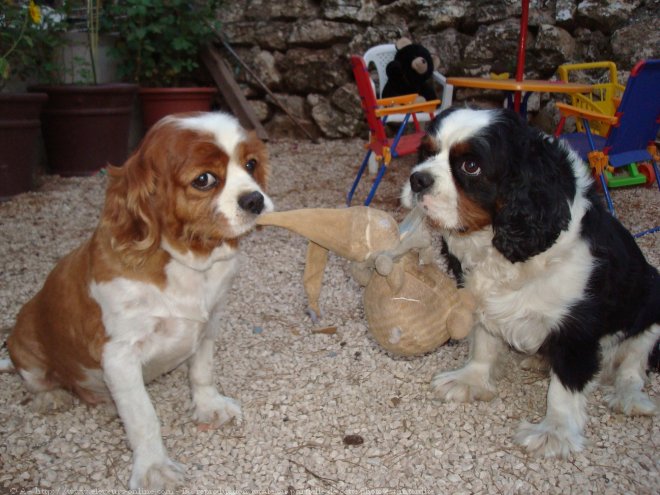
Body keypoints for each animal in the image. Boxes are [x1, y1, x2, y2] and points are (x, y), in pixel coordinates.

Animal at [2, 111, 270, 488]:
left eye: (251, 164)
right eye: (204, 179)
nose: (255, 200)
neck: (188, 260)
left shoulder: (209, 323)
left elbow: (201, 371)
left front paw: (209, 406)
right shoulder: (120, 354)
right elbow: (143, 417)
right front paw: (154, 467)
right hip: (24, 339)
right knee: (36, 379)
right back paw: (50, 395)